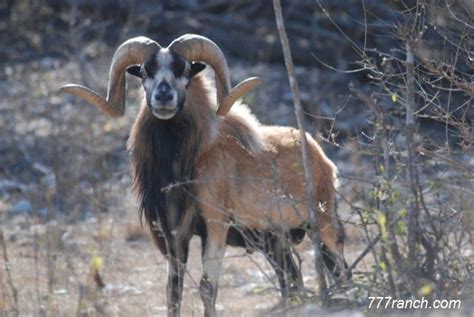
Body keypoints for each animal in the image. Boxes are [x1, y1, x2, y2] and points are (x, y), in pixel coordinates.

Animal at [60, 33, 318, 314]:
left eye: (184, 71)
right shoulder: (174, 236)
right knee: (291, 281)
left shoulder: (215, 229)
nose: (163, 96)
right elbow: (174, 291)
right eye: (144, 72)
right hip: (273, 243)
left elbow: (208, 288)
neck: (181, 167)